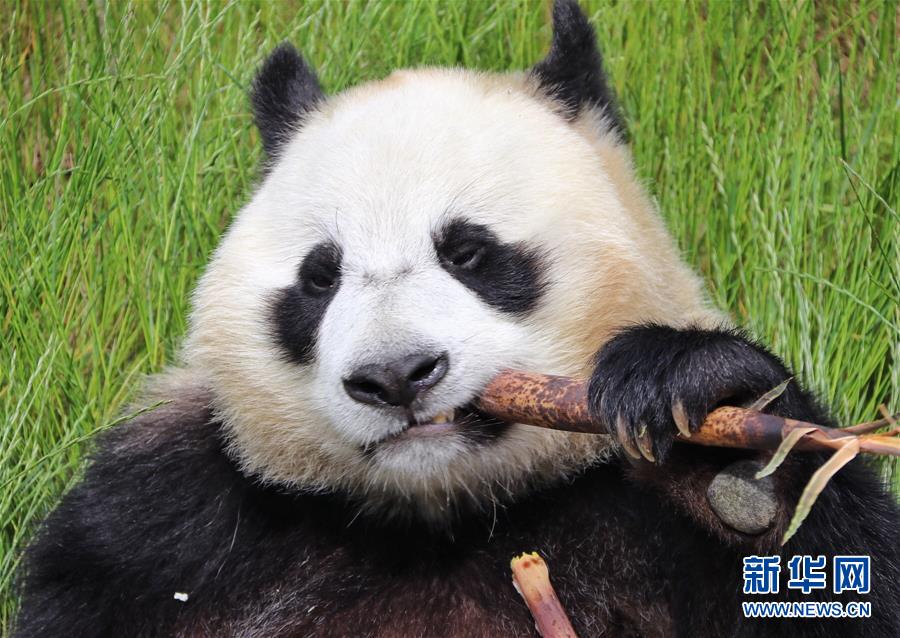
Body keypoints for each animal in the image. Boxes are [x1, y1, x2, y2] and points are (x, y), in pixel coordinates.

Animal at [13, 1, 899, 636]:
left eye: (469, 251)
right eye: (320, 276)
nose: (395, 376)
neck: (439, 518)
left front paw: (712, 428)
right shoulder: (166, 528)